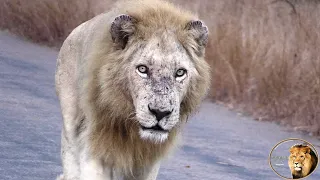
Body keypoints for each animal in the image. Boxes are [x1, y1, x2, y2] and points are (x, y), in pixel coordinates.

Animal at [55, 0, 210, 179]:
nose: (160, 113)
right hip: (71, 124)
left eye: (179, 73)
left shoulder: (147, 163)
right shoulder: (96, 145)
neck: (132, 133)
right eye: (142, 69)